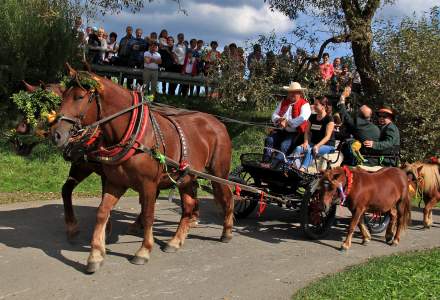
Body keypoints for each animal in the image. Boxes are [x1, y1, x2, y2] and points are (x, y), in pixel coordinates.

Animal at [51, 65, 234, 274]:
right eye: (63, 95)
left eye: (80, 97)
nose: (56, 134)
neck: (135, 135)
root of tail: (218, 123)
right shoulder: (114, 182)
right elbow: (102, 211)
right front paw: (95, 254)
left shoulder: (148, 184)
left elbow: (148, 215)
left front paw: (144, 250)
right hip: (186, 177)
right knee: (188, 206)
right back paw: (176, 240)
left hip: (219, 174)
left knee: (228, 197)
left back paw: (227, 231)